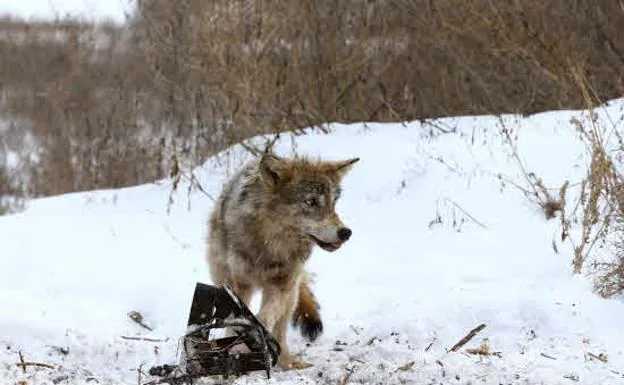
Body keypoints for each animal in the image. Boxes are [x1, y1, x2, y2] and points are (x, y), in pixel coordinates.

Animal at [206, 152, 358, 368]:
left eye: (333, 203)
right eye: (311, 202)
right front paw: (237, 347)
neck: (270, 245)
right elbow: (239, 319)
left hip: (291, 294)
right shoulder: (240, 284)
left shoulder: (281, 284)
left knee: (280, 330)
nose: (345, 233)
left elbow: (264, 317)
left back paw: (289, 363)